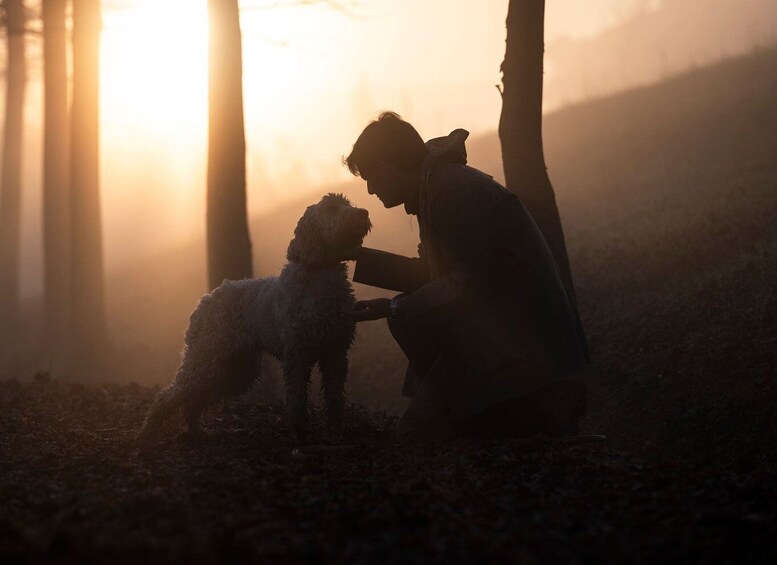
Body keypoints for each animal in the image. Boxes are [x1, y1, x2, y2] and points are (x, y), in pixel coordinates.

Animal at [137, 194, 372, 446]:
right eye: (332, 208)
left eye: (348, 204)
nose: (364, 213)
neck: (321, 274)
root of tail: (206, 299)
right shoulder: (297, 356)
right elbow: (297, 398)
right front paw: (300, 430)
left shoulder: (335, 354)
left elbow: (335, 398)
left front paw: (335, 431)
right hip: (206, 358)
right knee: (169, 395)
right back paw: (146, 437)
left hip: (236, 368)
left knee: (194, 399)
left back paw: (196, 431)